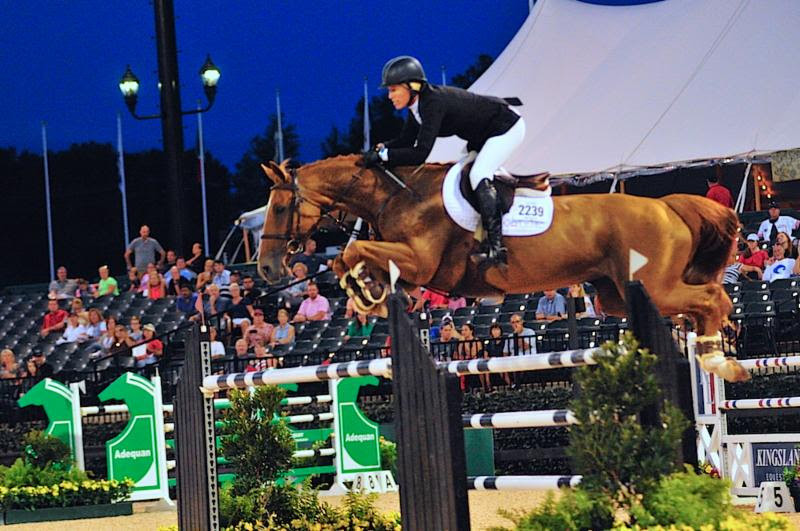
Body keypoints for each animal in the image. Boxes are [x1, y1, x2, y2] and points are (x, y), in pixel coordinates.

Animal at [257, 155, 747, 383]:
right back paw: (709, 348)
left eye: (279, 207)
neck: (397, 193)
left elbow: (356, 250)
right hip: (618, 294)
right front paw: (368, 293)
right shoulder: (414, 270)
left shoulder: (422, 261)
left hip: (651, 286)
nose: (265, 269)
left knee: (712, 298)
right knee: (697, 304)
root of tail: (667, 206)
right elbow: (353, 256)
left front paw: (363, 290)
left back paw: (719, 359)